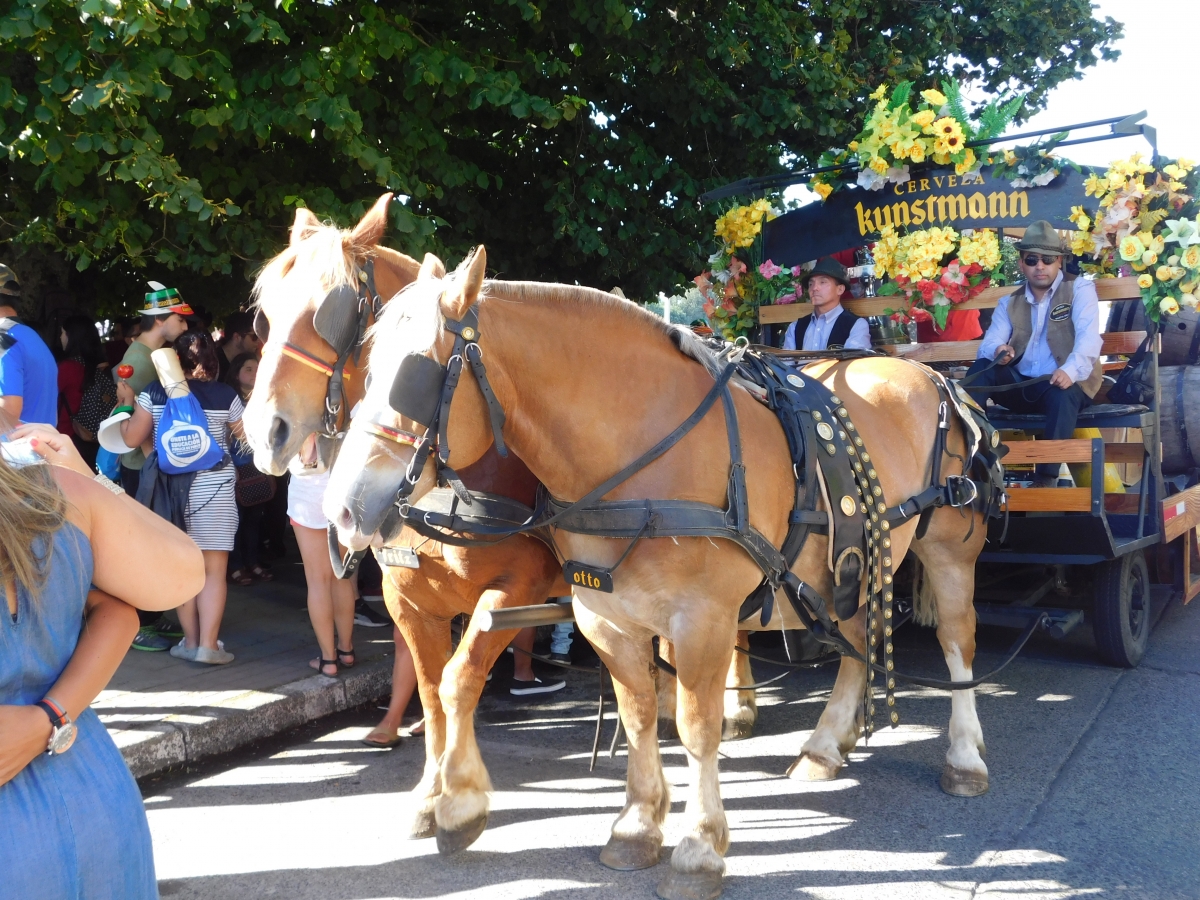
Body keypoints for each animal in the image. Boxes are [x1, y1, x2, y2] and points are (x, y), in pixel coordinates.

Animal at [326, 250, 993, 900]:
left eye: (415, 375)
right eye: (365, 363)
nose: (342, 509)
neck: (639, 454)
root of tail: (932, 375)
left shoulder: (700, 620)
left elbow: (698, 730)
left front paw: (699, 847)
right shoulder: (605, 618)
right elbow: (638, 714)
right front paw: (636, 825)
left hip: (946, 550)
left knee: (957, 640)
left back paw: (964, 757)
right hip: (854, 564)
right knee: (857, 642)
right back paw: (826, 747)